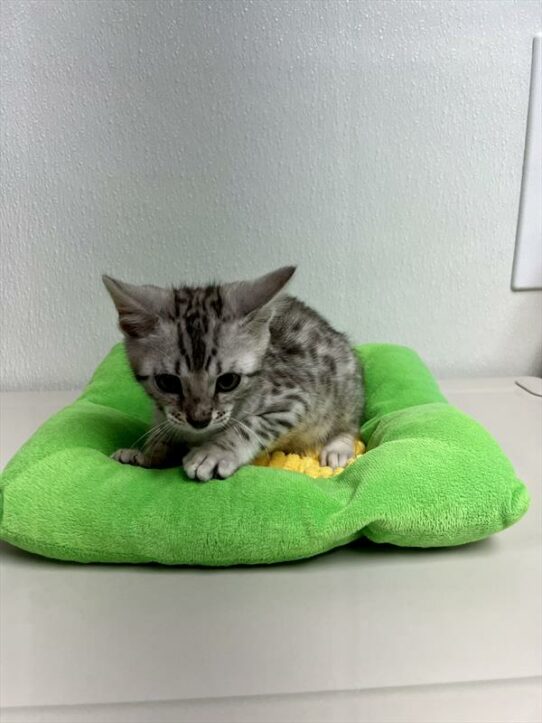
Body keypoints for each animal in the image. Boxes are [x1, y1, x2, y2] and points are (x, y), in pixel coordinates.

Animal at [103, 266, 364, 480]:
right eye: (167, 382)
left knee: (350, 425)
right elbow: (163, 433)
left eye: (228, 381)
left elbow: (249, 426)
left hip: (344, 388)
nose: (199, 420)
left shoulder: (294, 398)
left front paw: (213, 452)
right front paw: (145, 456)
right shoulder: (165, 416)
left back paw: (338, 448)